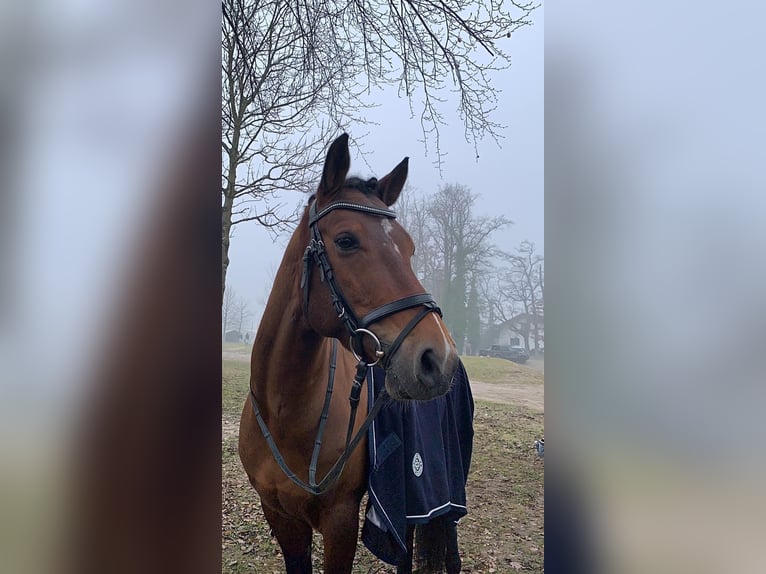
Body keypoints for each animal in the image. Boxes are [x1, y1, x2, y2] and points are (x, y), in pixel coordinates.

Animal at [237, 133, 460, 572]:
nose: (437, 357)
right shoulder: (281, 517)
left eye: (409, 248)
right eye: (346, 241)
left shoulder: (340, 520)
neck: (286, 412)